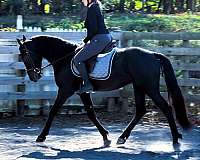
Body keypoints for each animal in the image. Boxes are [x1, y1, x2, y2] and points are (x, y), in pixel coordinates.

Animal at [17, 35, 191, 146]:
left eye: (24, 55)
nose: (34, 76)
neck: (64, 58)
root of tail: (153, 55)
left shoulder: (65, 90)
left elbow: (53, 111)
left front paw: (41, 136)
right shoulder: (83, 92)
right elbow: (91, 113)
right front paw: (106, 137)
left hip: (149, 87)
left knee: (165, 108)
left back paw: (175, 138)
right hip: (139, 86)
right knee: (141, 111)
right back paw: (122, 138)